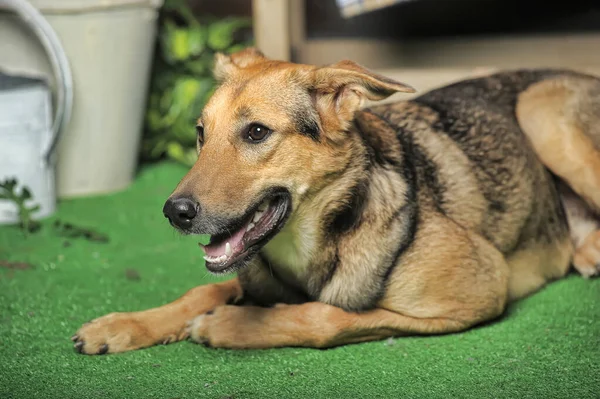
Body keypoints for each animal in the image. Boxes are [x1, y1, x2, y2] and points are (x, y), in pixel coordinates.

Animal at [71, 47, 600, 356]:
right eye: (201, 134)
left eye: (256, 132)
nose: (174, 212)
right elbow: (201, 292)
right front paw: (122, 326)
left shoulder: (484, 287)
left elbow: (327, 316)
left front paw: (232, 326)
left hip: (540, 109)